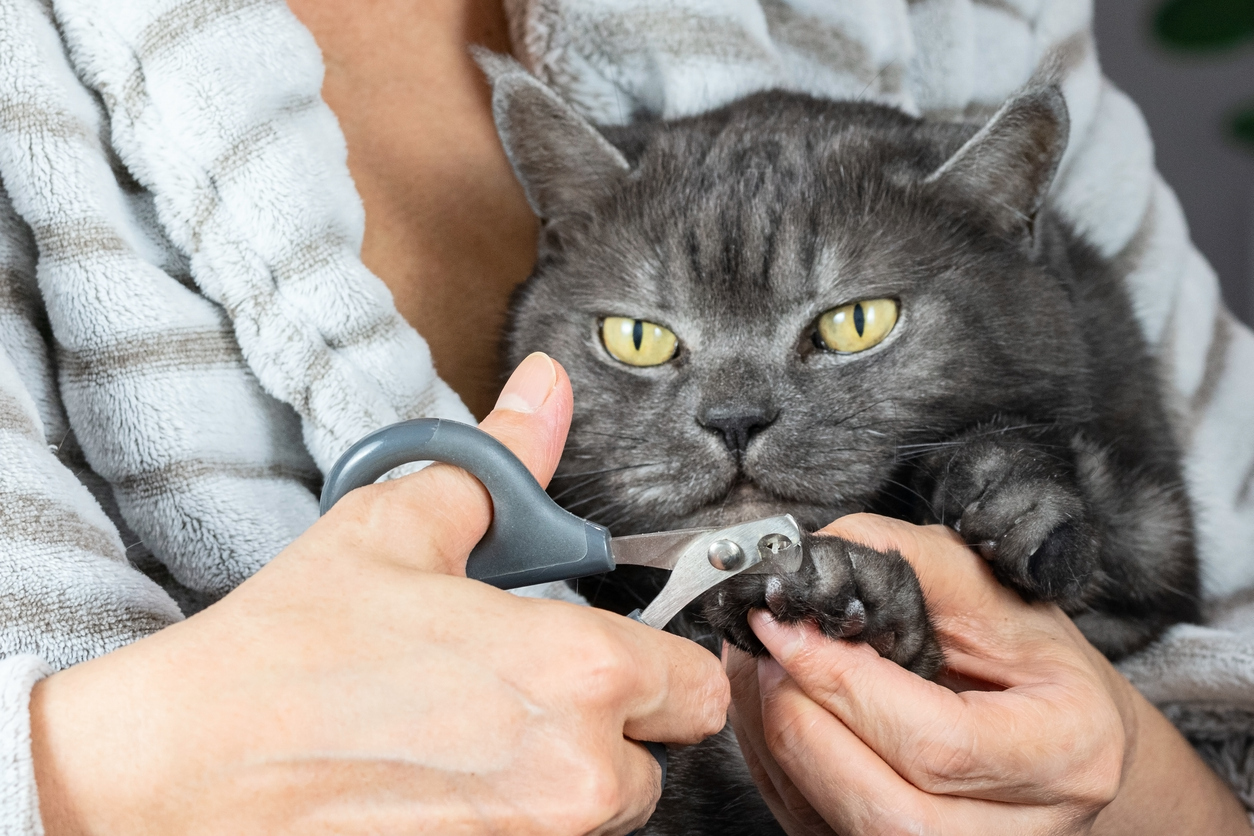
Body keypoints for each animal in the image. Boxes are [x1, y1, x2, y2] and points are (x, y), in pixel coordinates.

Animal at [476, 55, 1193, 832]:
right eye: (637, 338)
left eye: (858, 321)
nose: (734, 417)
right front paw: (839, 588)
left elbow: (1136, 542)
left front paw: (1013, 501)